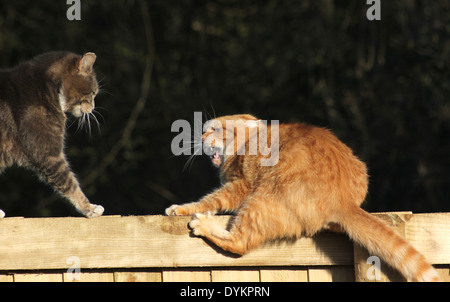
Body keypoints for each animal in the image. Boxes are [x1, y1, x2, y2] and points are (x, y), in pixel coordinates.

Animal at [0, 51, 104, 217]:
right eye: (93, 93)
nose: (93, 108)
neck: (46, 89)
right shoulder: (48, 154)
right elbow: (70, 183)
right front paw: (90, 208)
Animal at [166, 114, 440, 282]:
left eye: (215, 130)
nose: (201, 139)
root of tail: (343, 199)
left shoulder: (239, 187)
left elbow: (209, 200)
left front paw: (181, 208)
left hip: (259, 199)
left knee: (238, 243)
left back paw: (204, 225)